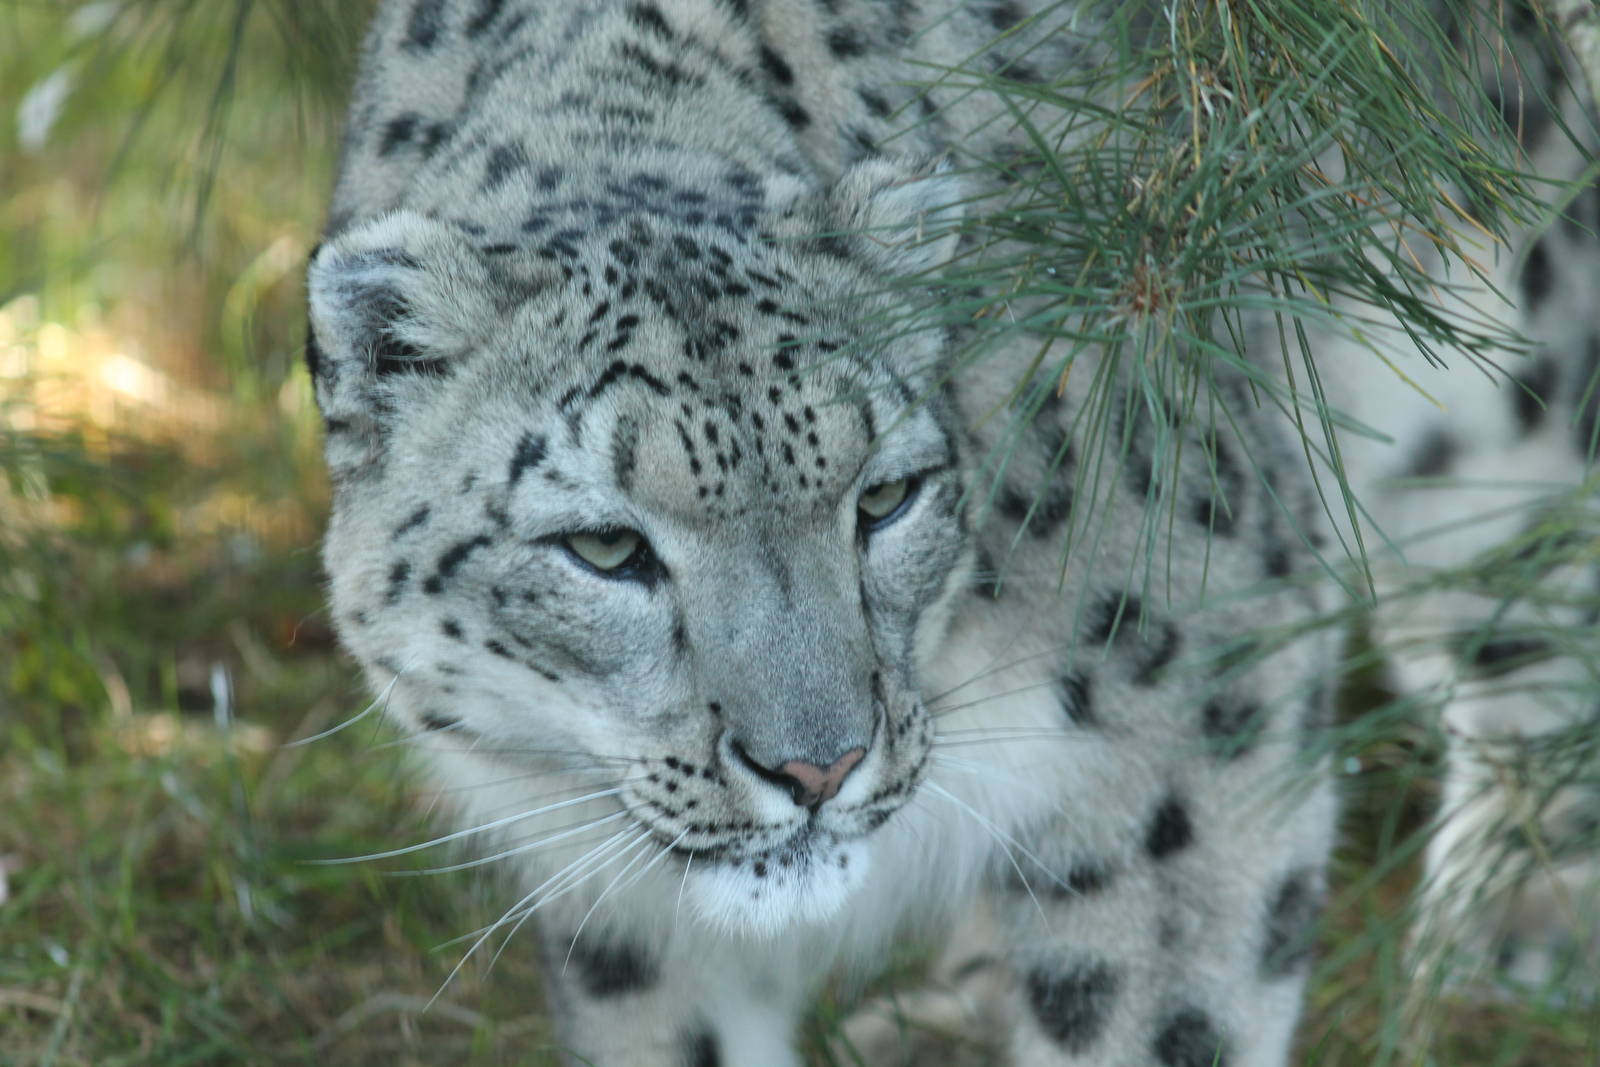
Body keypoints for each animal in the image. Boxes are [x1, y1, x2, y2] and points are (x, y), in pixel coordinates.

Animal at [305, 1, 1600, 1063]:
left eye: (884, 496)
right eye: (607, 548)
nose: (815, 765)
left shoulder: (1192, 720)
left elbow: (1156, 1013)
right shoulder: (618, 892)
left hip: (1486, 370)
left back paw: (1520, 914)